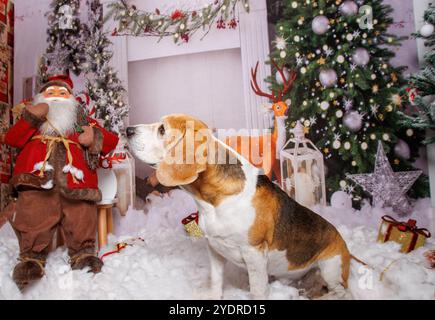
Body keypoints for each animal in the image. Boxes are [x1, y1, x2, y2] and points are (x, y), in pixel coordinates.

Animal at [127, 115, 352, 300]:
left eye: (162, 129)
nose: (128, 129)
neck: (213, 203)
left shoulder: (255, 253)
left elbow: (258, 292)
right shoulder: (213, 247)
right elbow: (216, 280)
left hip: (330, 267)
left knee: (340, 292)